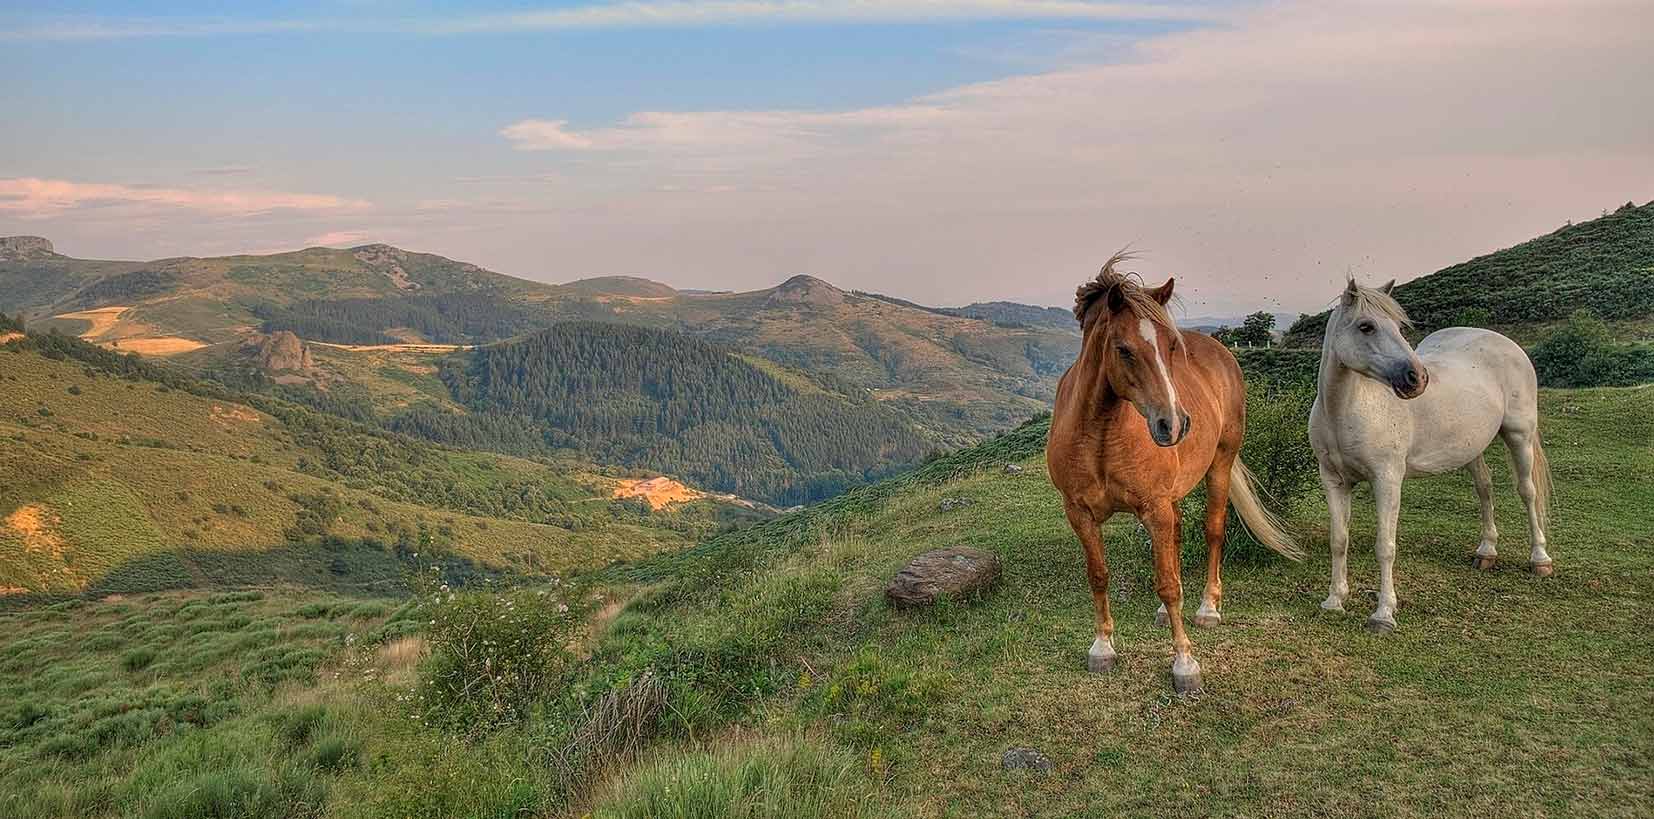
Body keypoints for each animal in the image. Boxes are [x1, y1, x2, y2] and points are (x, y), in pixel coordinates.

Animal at [1045, 253, 1303, 694]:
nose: (1176, 423)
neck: (1099, 434)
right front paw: (1102, 647)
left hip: (1219, 465)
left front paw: (1185, 662)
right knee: (1179, 536)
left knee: (1213, 531)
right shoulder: (1079, 513)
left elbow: (1167, 584)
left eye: (1169, 345)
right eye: (1124, 349)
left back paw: (1208, 608)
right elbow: (1099, 576)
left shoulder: (1154, 508)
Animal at [1303, 279, 1548, 632]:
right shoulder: (1334, 481)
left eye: (1398, 326)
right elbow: (1339, 540)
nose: (1417, 378)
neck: (1345, 410)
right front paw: (1334, 600)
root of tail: (1505, 343)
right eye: (1366, 326)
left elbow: (1385, 546)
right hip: (1472, 447)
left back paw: (1540, 559)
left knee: (1527, 492)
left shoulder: (1387, 481)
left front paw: (1383, 614)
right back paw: (1486, 552)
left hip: (1520, 435)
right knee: (1485, 488)